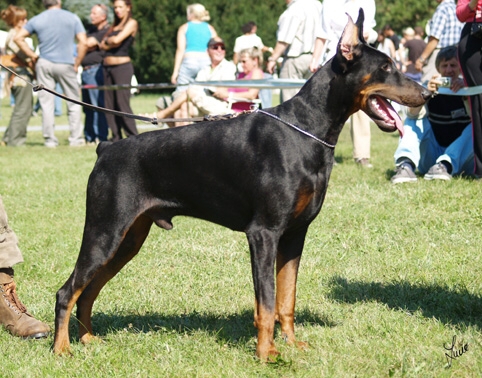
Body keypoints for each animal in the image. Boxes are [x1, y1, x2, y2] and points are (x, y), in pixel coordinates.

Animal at [54, 10, 432, 360]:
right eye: (385, 67)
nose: (428, 93)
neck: (306, 130)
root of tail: (106, 148)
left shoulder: (294, 235)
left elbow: (286, 297)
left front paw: (291, 343)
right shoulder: (263, 233)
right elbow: (266, 301)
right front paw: (267, 353)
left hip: (128, 239)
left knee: (88, 290)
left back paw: (87, 339)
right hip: (105, 230)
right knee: (67, 291)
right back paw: (61, 349)